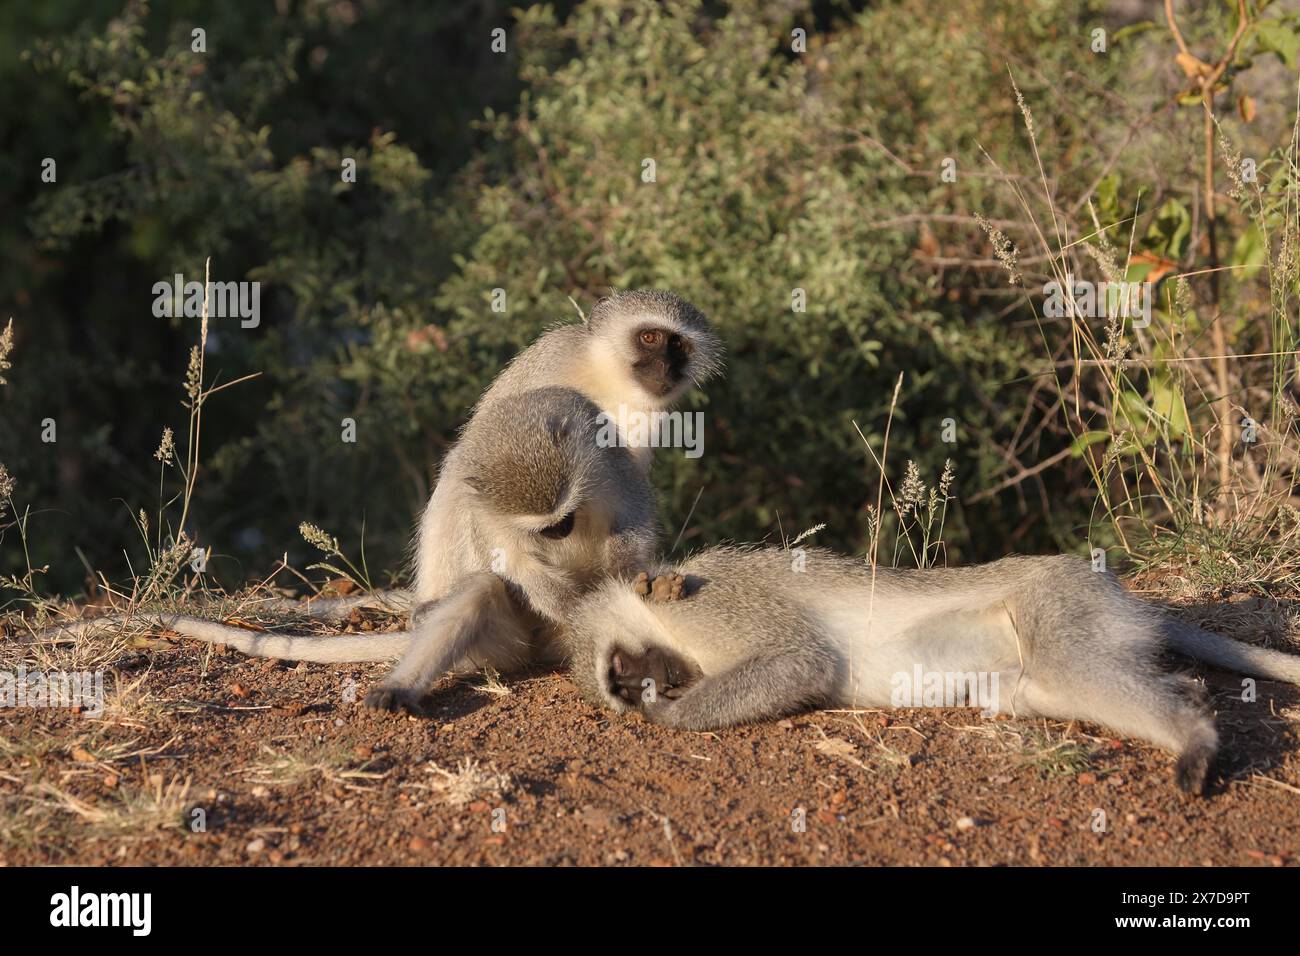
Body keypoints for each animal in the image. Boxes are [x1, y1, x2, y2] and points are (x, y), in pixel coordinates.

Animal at [566, 546, 1300, 790]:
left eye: (630, 672)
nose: (653, 683)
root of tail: (1119, 593)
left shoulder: (714, 603)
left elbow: (801, 661)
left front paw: (668, 714)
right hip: (1036, 663)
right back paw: (1189, 693)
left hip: (1061, 602)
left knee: (1076, 667)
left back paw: (1195, 735)